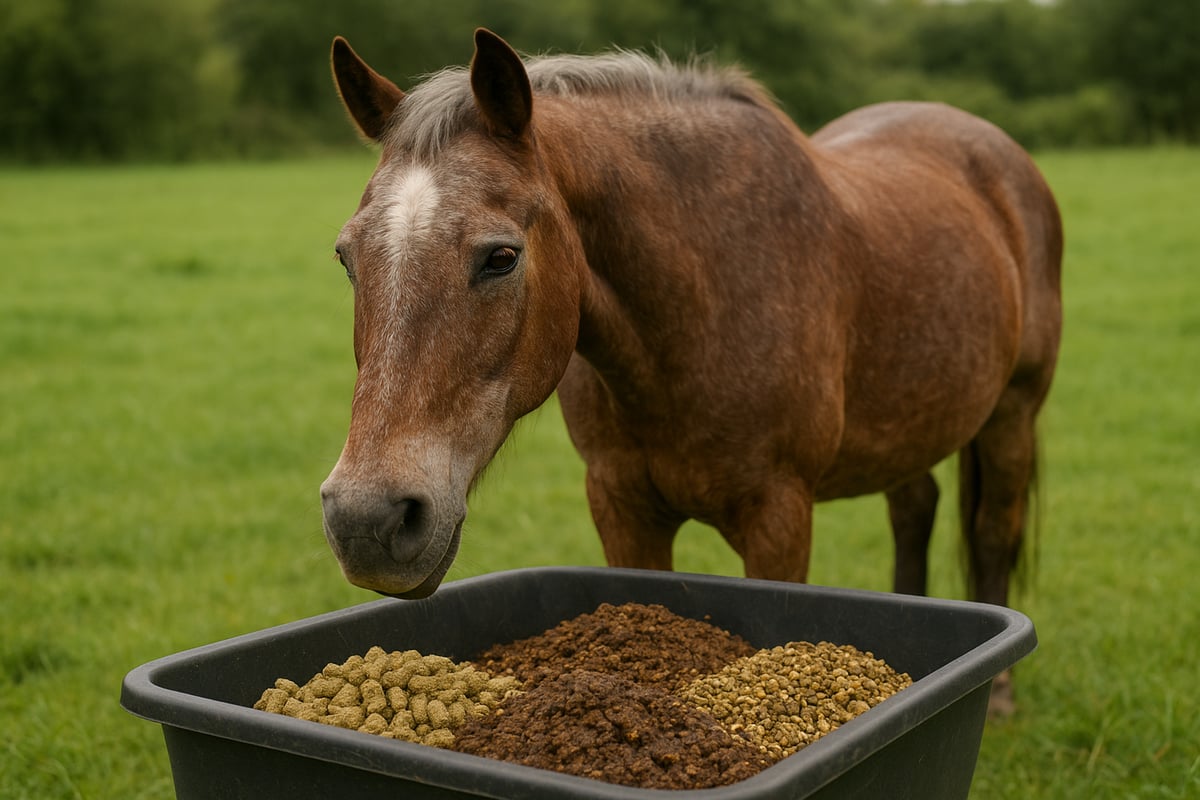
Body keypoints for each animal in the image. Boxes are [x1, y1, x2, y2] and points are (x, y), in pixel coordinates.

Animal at [320, 29, 1062, 712]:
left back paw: (997, 693)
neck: (700, 307)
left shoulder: (778, 515)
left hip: (1013, 415)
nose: (368, 519)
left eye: (501, 257)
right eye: (346, 257)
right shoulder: (620, 506)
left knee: (994, 531)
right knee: (915, 512)